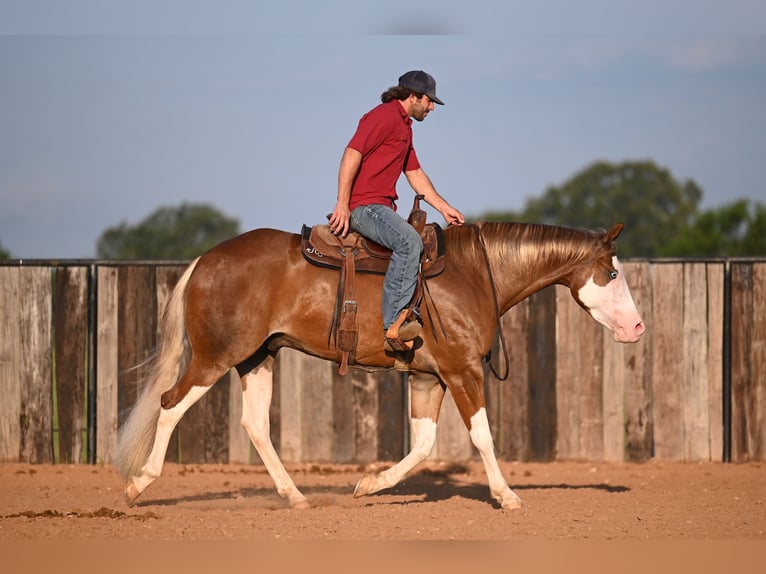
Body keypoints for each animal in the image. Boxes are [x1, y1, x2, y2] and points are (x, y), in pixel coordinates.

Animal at [114, 222, 644, 512]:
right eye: (612, 272)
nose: (638, 326)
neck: (476, 273)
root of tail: (204, 260)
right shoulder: (463, 373)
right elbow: (481, 436)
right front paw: (507, 496)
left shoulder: (429, 379)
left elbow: (425, 444)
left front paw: (370, 485)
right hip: (214, 357)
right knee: (170, 404)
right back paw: (138, 485)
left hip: (257, 358)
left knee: (255, 425)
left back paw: (295, 496)